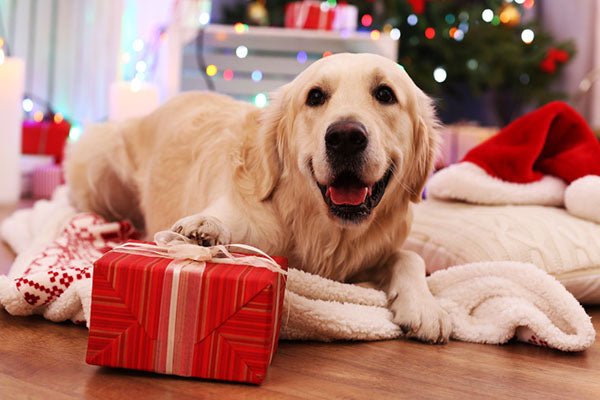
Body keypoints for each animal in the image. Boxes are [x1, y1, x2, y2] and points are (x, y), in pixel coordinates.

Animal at [65, 51, 450, 342]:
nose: (345, 137)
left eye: (385, 94)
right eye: (315, 96)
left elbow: (410, 257)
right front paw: (203, 230)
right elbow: (216, 224)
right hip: (99, 156)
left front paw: (424, 305)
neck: (321, 232)